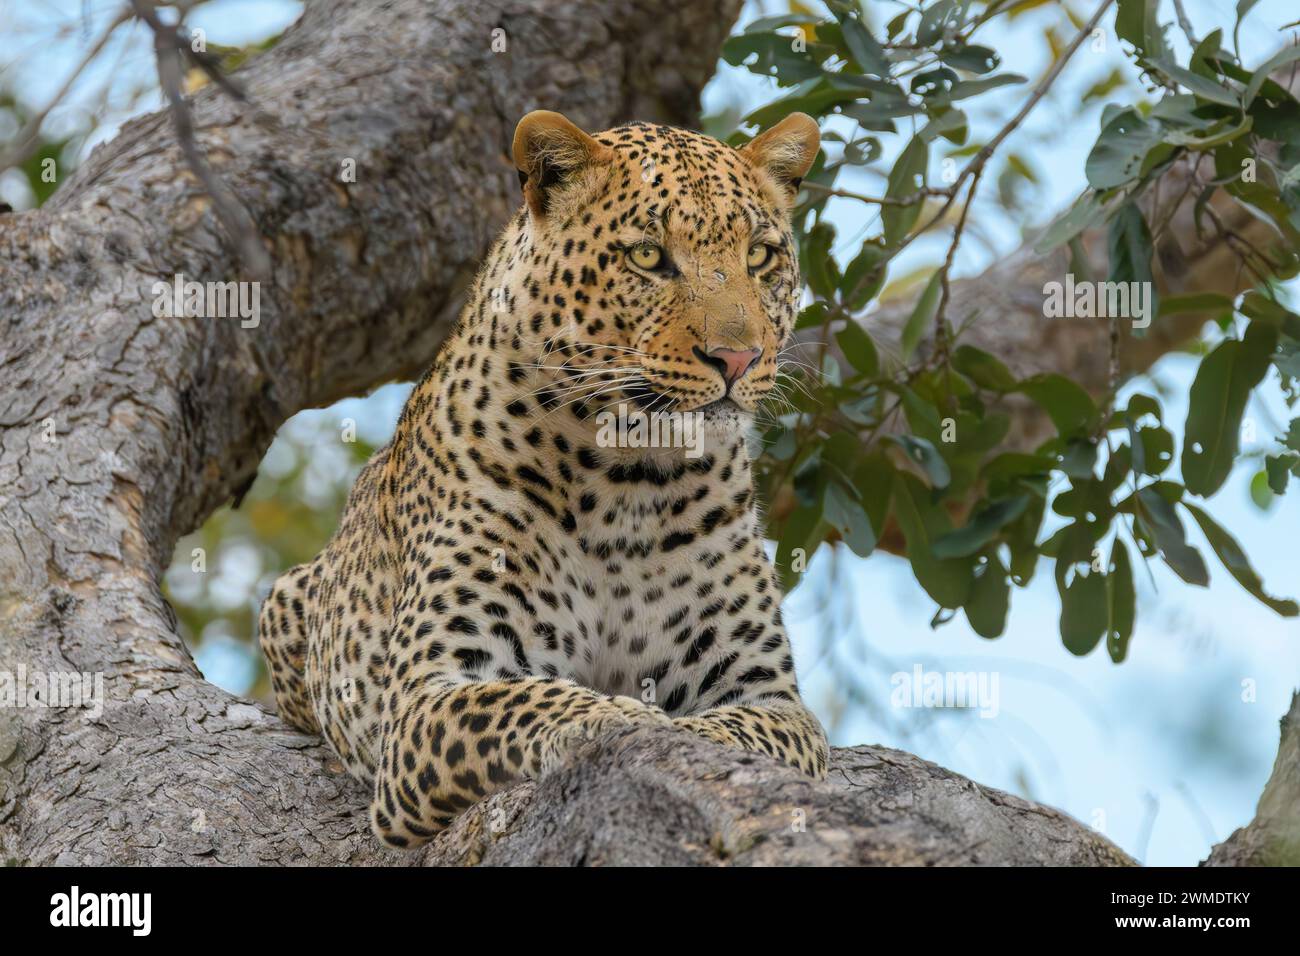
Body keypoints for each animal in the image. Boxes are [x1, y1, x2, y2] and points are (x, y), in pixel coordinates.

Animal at [257, 108, 826, 848]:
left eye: (760, 257)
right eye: (649, 257)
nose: (738, 357)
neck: (632, 478)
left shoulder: (770, 697)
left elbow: (734, 732)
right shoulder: (426, 699)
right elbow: (539, 700)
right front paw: (622, 718)